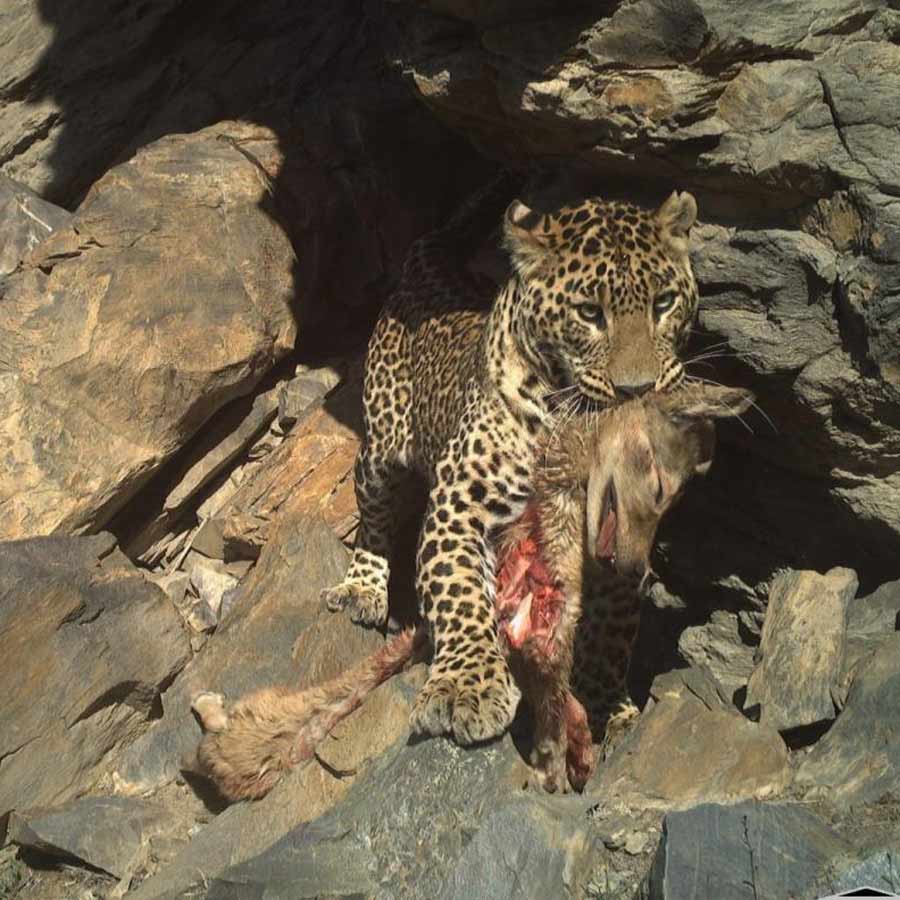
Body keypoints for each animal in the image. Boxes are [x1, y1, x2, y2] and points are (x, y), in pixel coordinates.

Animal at [322, 173, 701, 746]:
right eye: (589, 313)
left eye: (665, 302)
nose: (637, 390)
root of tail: (432, 261)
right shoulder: (459, 507)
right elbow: (458, 594)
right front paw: (465, 687)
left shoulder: (617, 534)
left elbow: (610, 631)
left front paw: (604, 706)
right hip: (379, 450)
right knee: (374, 519)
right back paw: (361, 587)